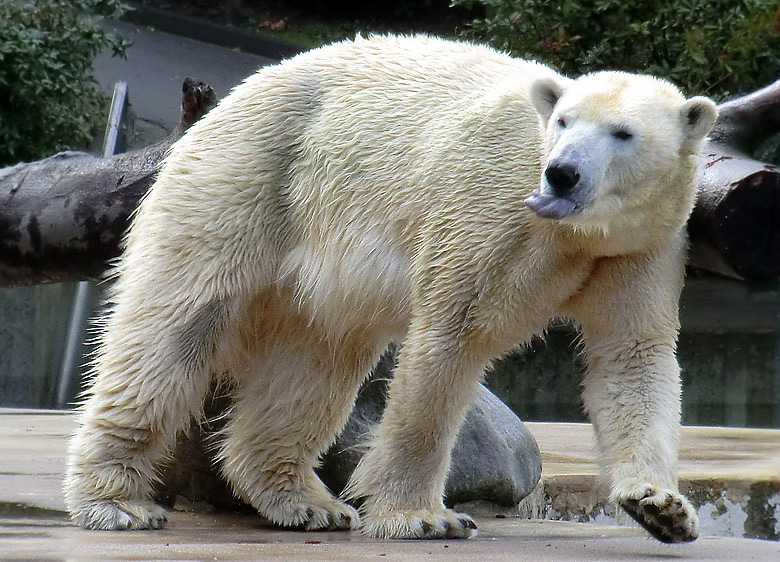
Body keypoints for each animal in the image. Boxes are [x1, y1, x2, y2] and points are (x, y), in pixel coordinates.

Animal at [64, 32, 716, 540]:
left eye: (623, 133)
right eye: (563, 122)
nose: (562, 173)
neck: (576, 232)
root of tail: (227, 100)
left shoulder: (641, 248)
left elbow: (633, 357)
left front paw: (662, 507)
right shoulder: (489, 212)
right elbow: (452, 338)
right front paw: (423, 517)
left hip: (313, 270)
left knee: (312, 364)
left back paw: (305, 501)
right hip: (247, 182)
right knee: (173, 326)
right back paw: (117, 501)